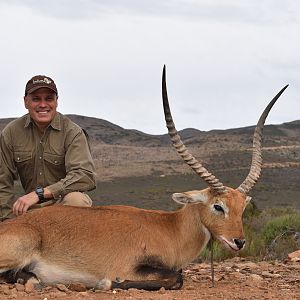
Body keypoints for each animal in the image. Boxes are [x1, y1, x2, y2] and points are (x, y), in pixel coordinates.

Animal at [0, 67, 288, 290]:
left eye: (242, 208)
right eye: (218, 206)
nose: (239, 241)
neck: (170, 228)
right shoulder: (131, 266)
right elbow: (175, 278)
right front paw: (106, 283)